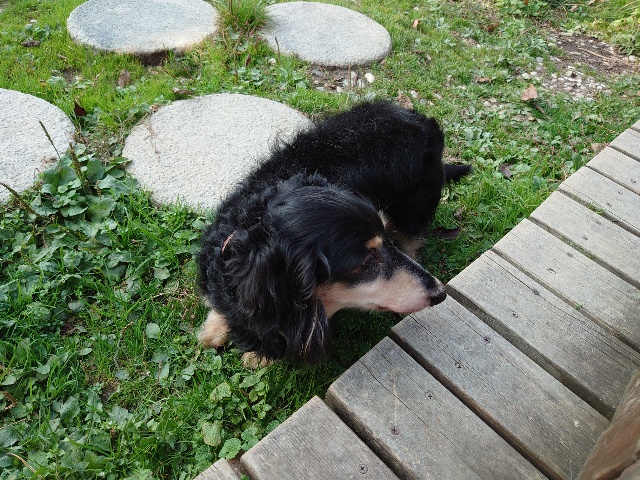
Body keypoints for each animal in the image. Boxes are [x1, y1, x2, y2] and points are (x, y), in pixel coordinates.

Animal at [197, 100, 470, 365]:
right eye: (366, 262)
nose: (440, 292)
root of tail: (424, 121)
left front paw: (257, 357)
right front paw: (214, 327)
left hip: (412, 211)